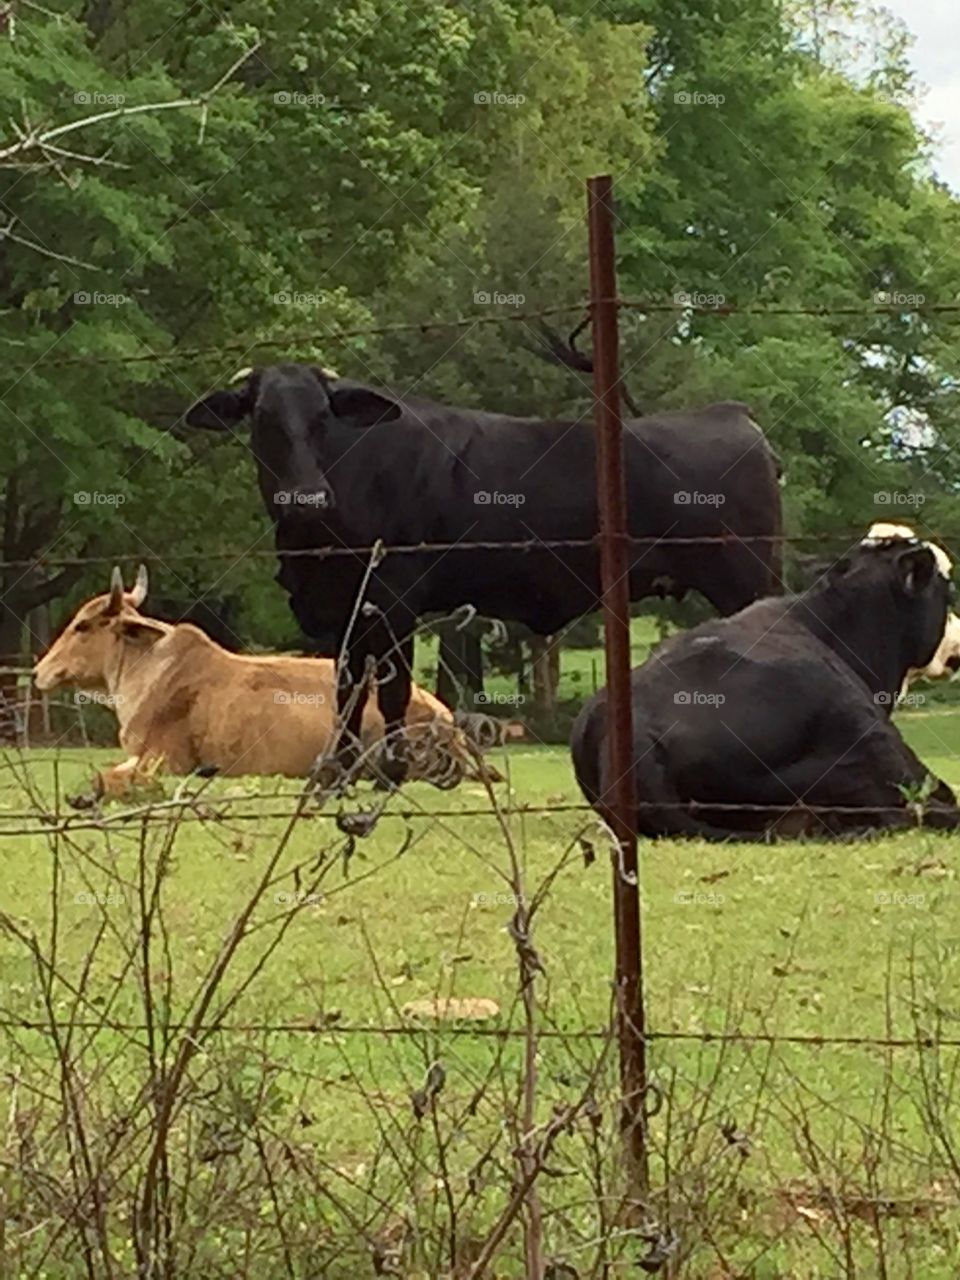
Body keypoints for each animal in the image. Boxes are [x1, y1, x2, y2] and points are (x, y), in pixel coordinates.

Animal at [34, 566, 490, 800]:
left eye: (83, 625)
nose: (39, 672)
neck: (150, 671)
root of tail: (447, 720)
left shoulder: (164, 760)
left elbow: (107, 774)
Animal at [182, 364, 783, 783]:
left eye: (322, 418)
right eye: (263, 418)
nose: (307, 497)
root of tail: (730, 414)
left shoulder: (396, 600)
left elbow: (393, 690)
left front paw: (392, 770)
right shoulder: (341, 609)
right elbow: (347, 689)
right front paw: (339, 769)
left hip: (747, 580)